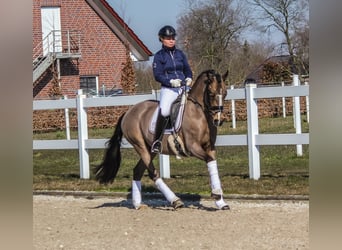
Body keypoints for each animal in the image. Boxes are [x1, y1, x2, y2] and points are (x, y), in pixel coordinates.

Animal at [94, 69, 230, 210]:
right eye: (211, 93)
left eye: (225, 93)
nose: (218, 120)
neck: (200, 114)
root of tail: (128, 112)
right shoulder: (192, 147)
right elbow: (209, 160)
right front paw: (216, 194)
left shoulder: (209, 147)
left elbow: (212, 162)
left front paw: (220, 202)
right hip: (140, 146)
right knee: (153, 173)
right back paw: (175, 200)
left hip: (151, 149)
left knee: (137, 171)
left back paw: (137, 204)